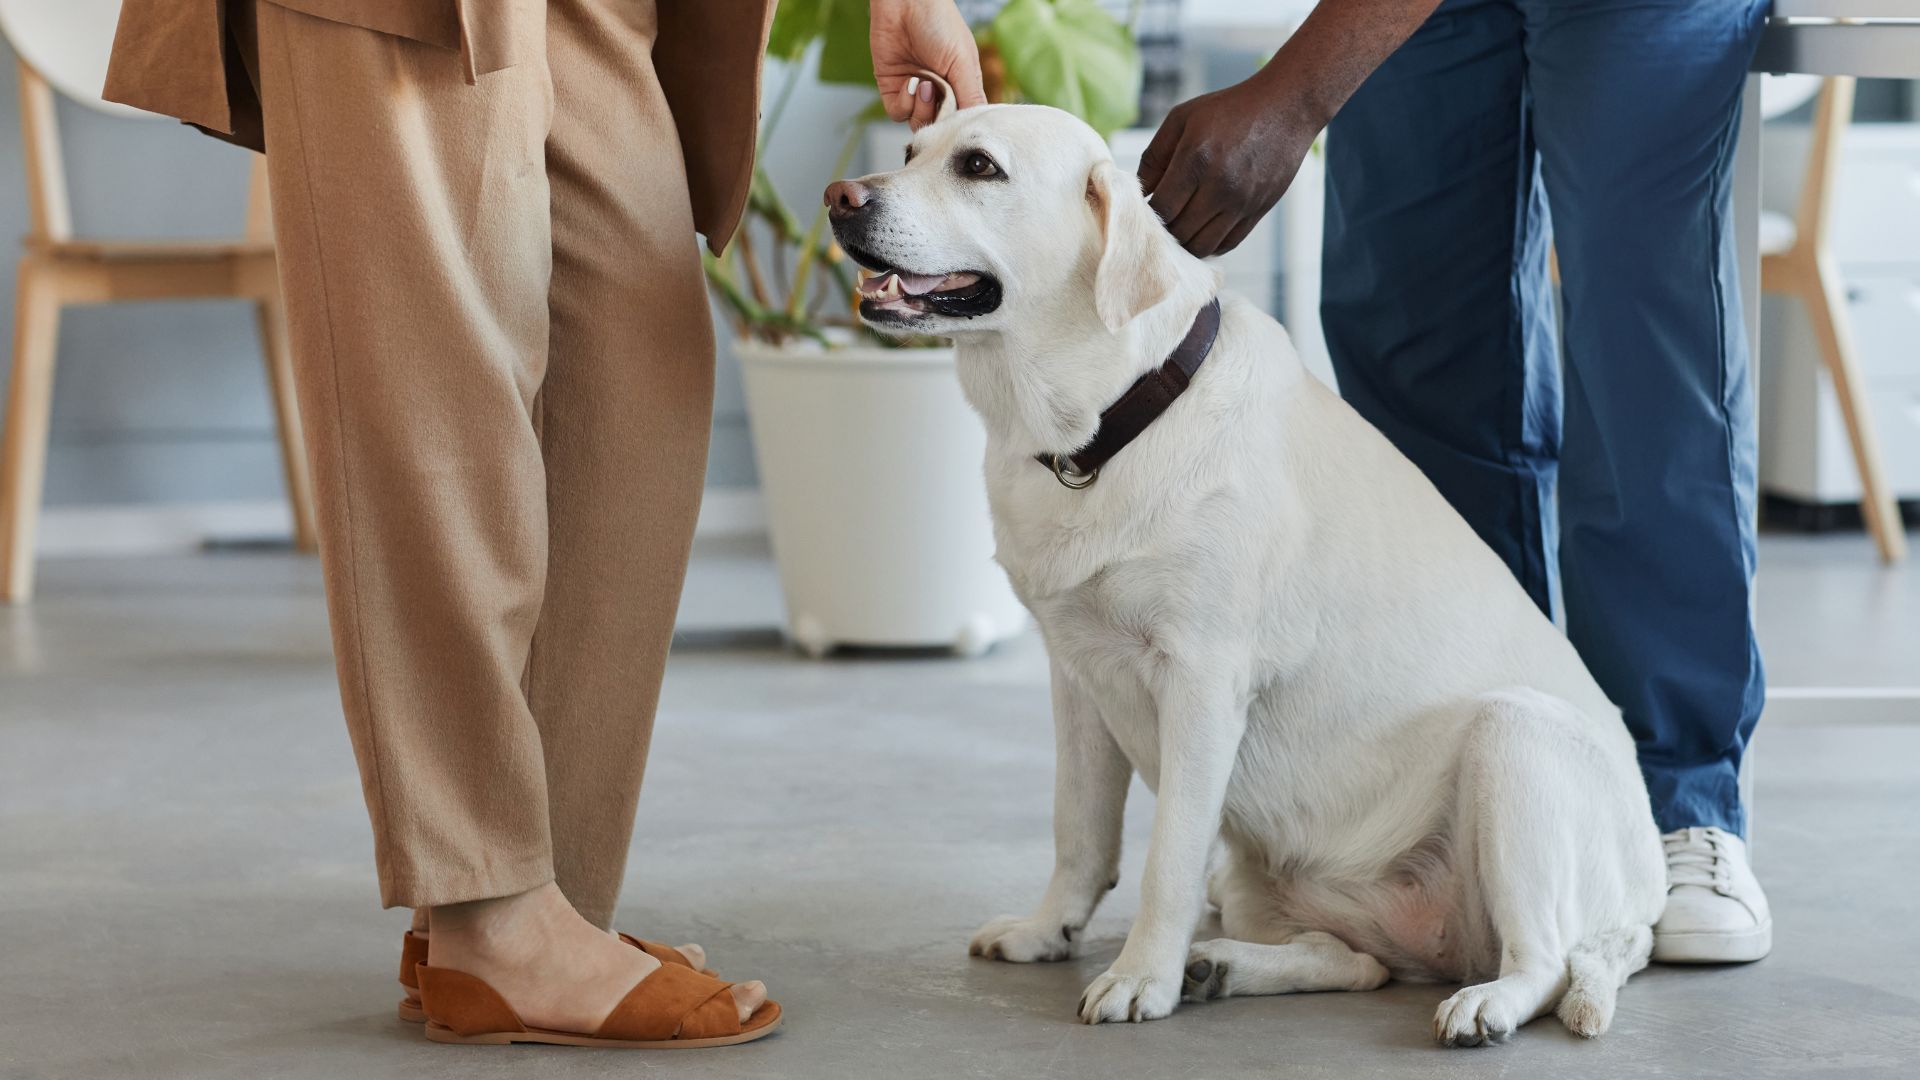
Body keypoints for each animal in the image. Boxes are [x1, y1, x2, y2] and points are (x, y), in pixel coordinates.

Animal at [833, 102, 1674, 1045]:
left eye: (979, 166)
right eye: (911, 149)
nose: (839, 197)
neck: (1112, 423)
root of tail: (1645, 910)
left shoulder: (1202, 681)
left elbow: (1163, 861)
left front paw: (1141, 978)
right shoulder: (1076, 677)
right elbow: (1078, 831)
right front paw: (1049, 931)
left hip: (1512, 739)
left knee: (1544, 960)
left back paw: (1480, 1004)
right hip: (1260, 879)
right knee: (1361, 964)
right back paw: (1225, 966)